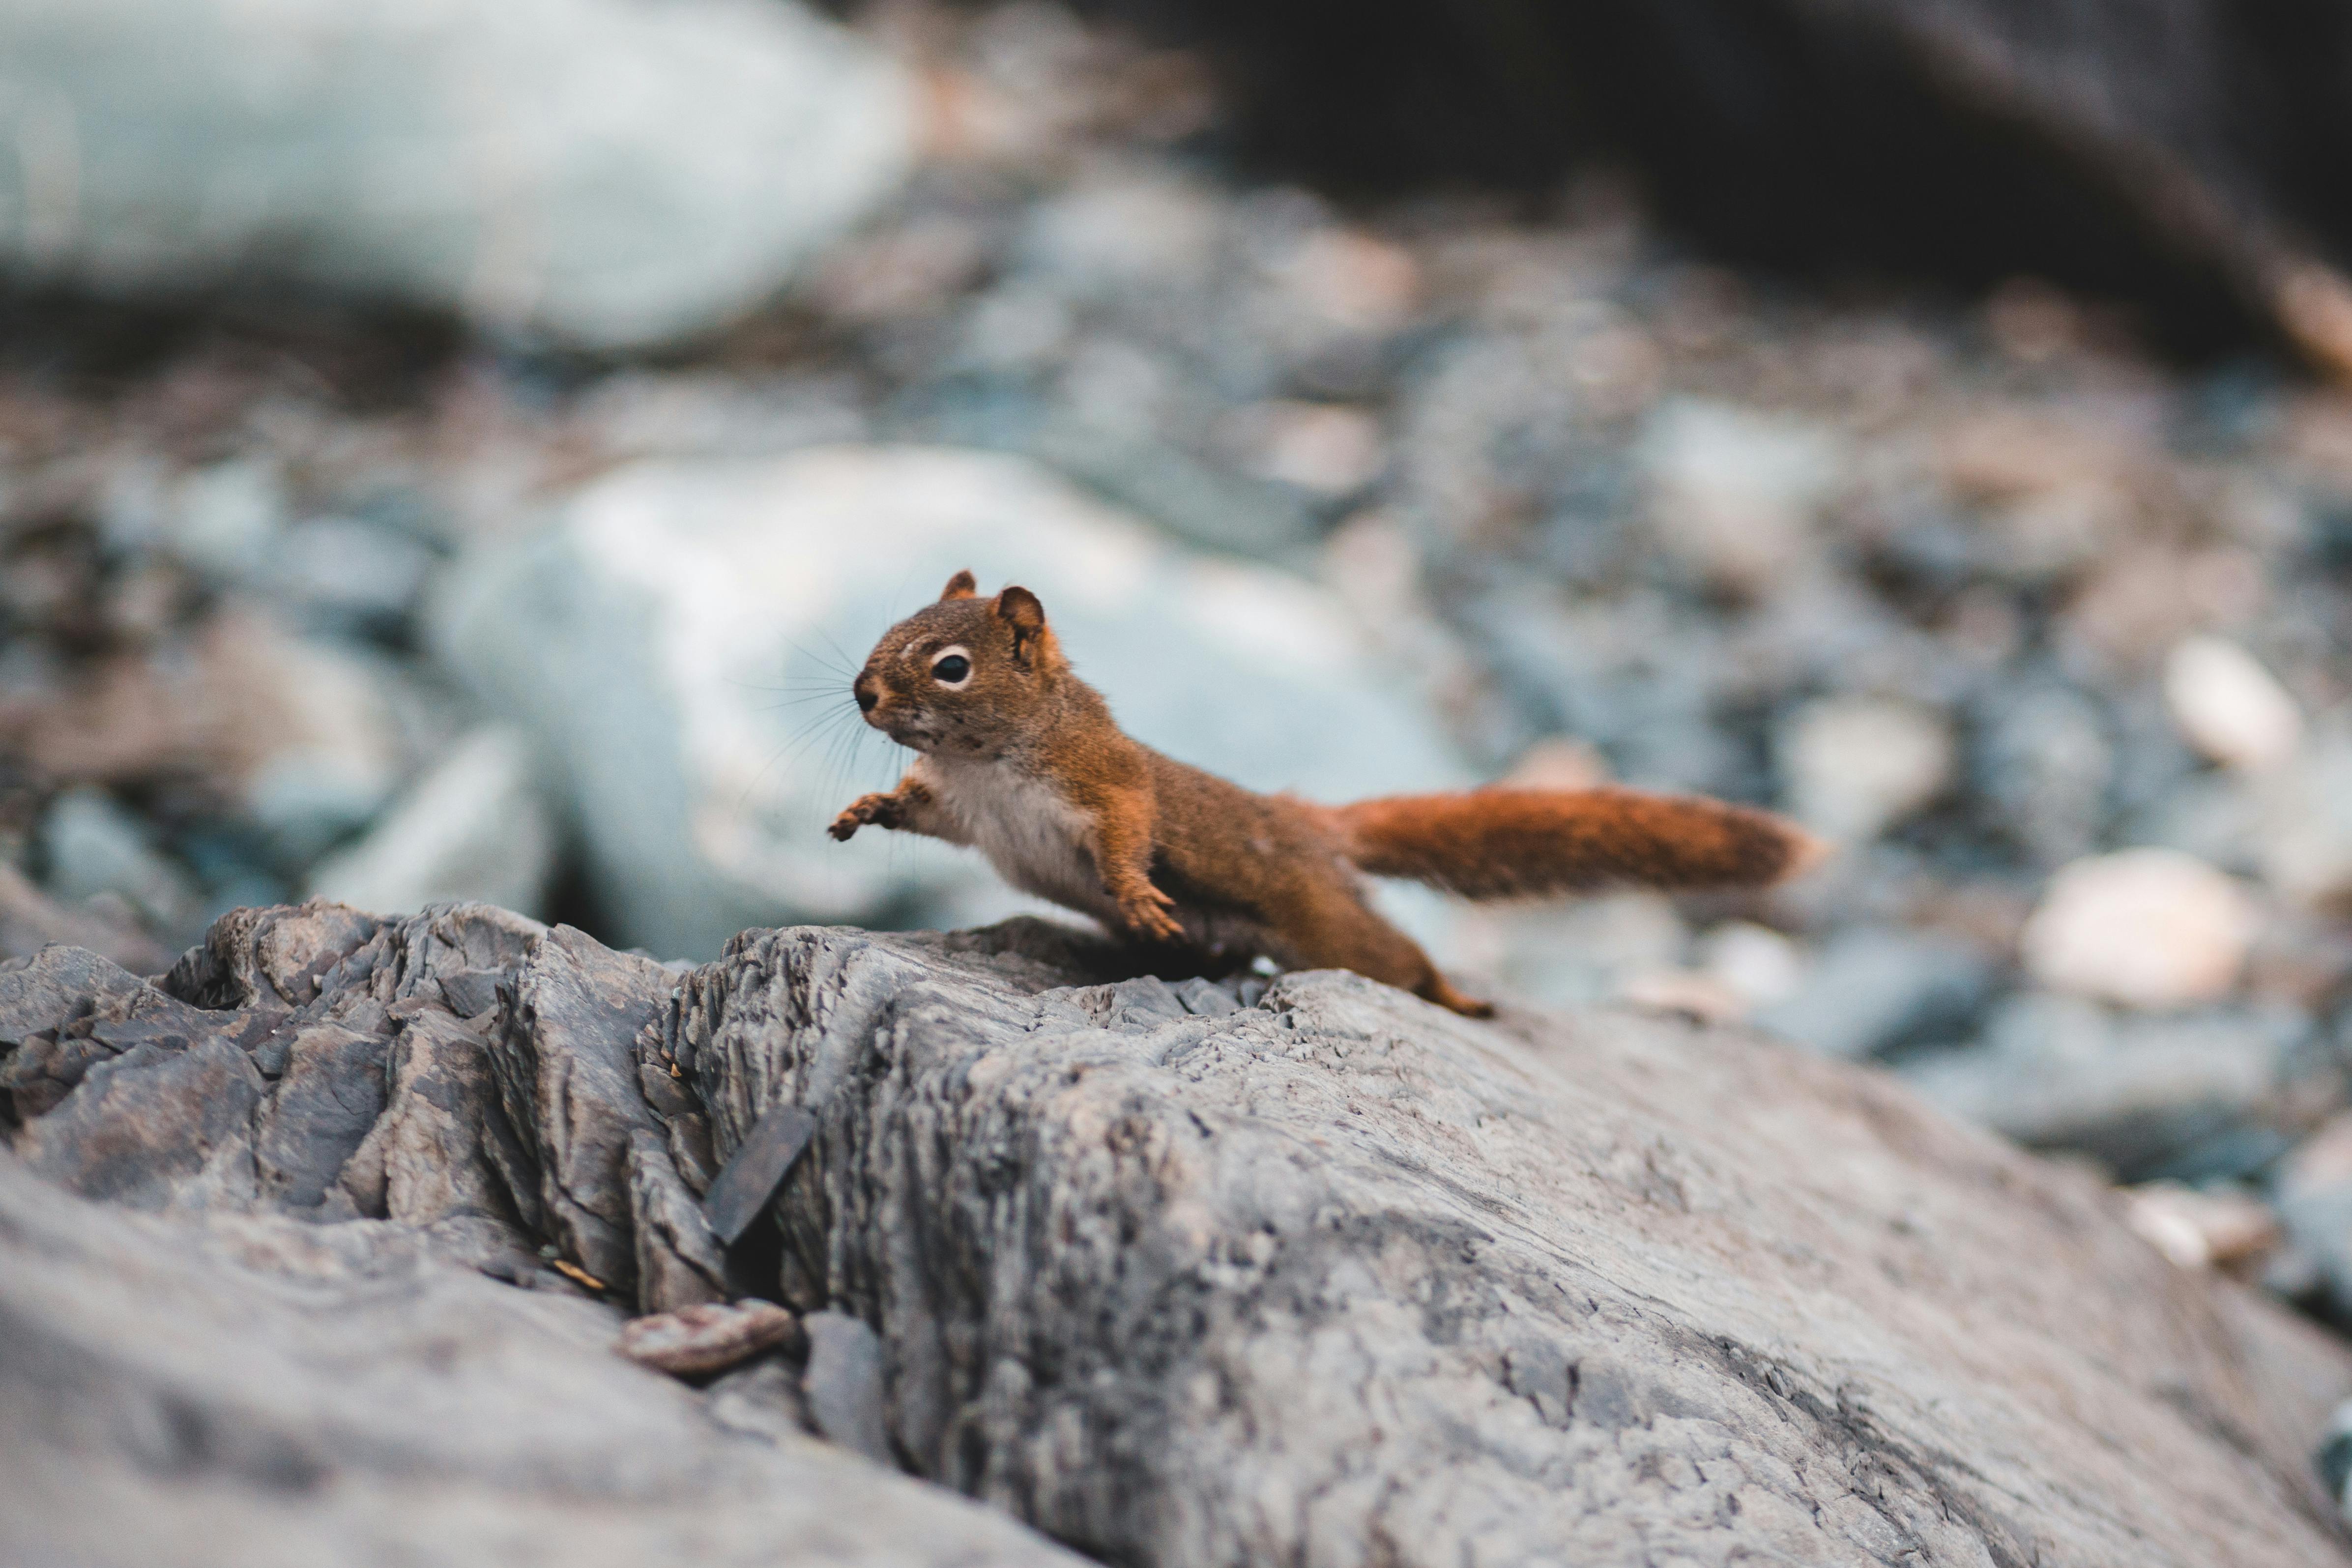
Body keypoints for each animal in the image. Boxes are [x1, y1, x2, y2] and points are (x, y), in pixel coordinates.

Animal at [829, 571, 1826, 1017]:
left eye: (951, 667)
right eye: (891, 623)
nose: (862, 693)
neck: (986, 763)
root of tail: (1310, 826)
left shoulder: (1103, 777)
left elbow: (1127, 832)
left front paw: (1136, 894)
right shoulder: (965, 812)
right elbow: (920, 816)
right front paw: (862, 813)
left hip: (1328, 927)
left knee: (1400, 957)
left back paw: (1456, 998)